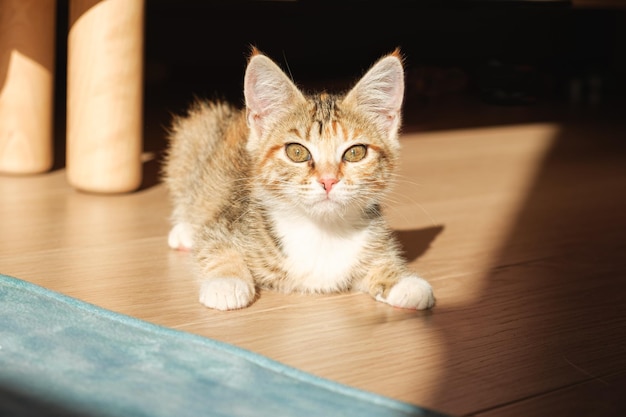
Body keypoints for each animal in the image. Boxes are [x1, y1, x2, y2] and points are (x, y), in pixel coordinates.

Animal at [161, 48, 434, 308]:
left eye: (356, 152)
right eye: (297, 152)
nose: (328, 180)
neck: (321, 230)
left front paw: (403, 281)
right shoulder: (227, 221)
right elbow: (213, 244)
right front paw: (226, 281)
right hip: (197, 134)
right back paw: (186, 230)